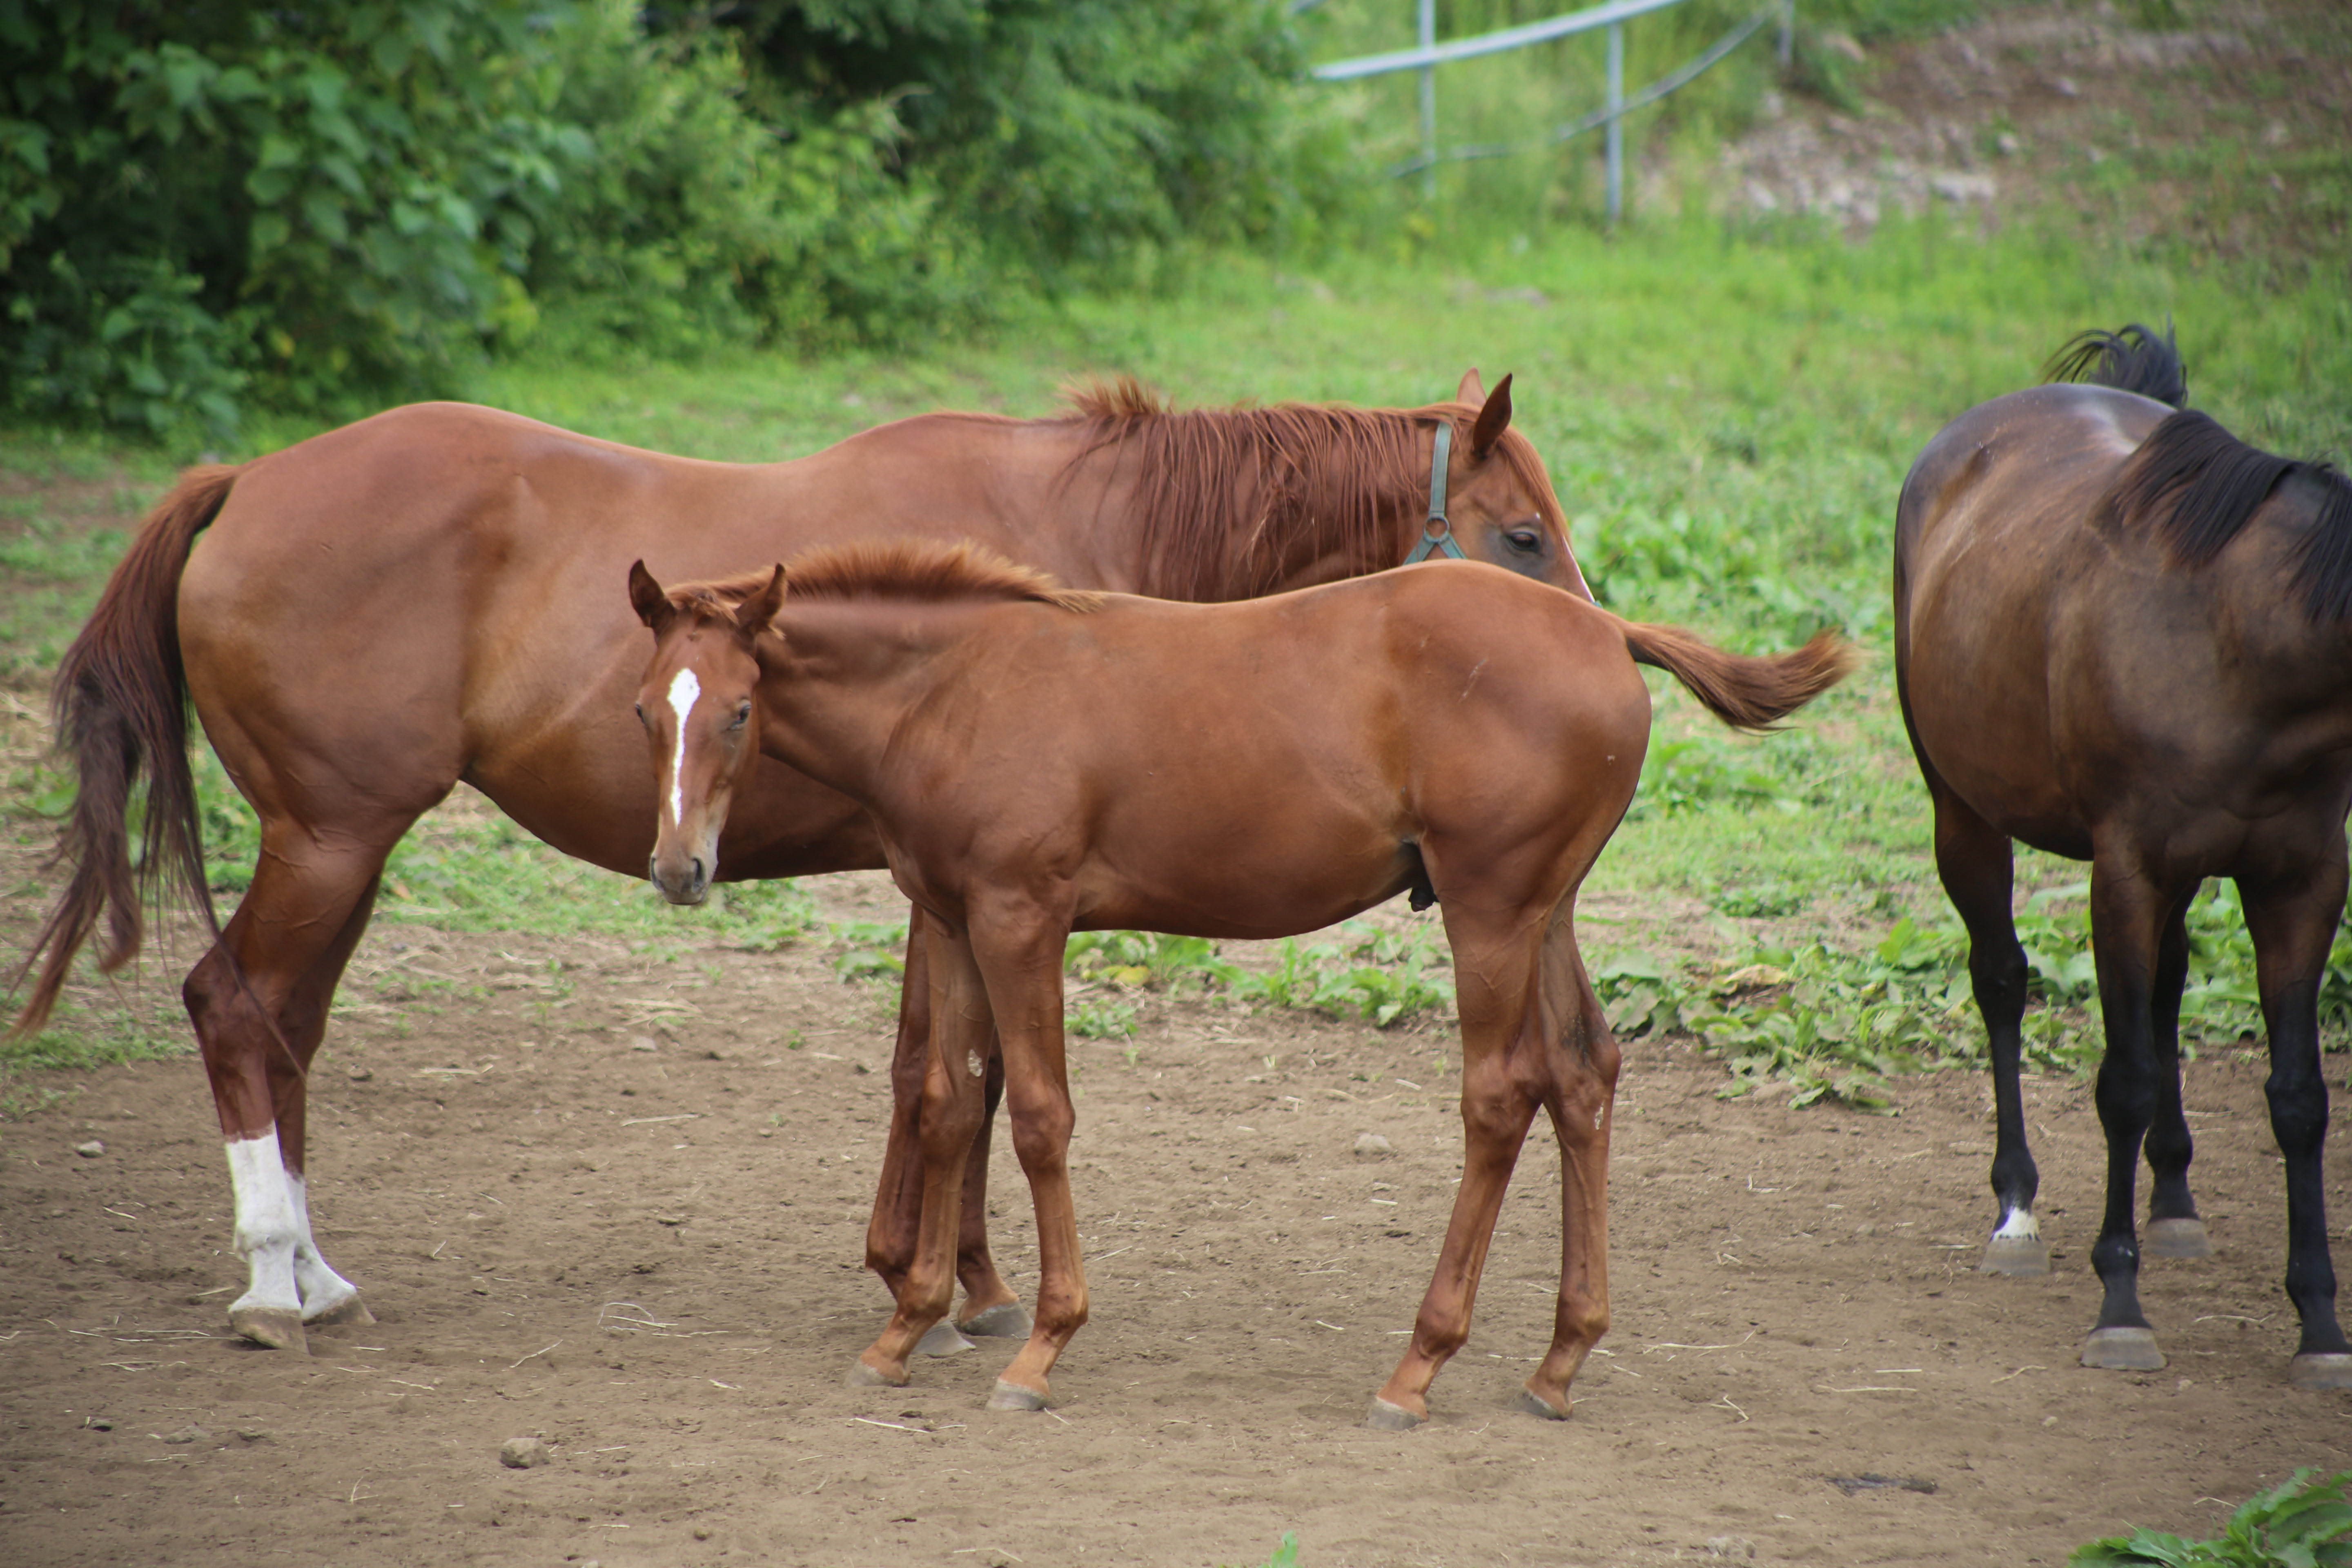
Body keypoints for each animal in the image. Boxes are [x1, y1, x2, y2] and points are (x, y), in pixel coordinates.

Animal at [18, 369, 1590, 1354]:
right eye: (1522, 531)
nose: (1588, 651)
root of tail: (245, 484)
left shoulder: (946, 881)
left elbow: (936, 1073)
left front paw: (933, 1278)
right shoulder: (953, 885)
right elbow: (967, 1079)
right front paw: (958, 1287)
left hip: (341, 846)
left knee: (286, 1027)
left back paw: (314, 1265)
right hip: (333, 840)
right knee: (235, 1011)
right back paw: (275, 1286)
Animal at [630, 545, 1853, 1429]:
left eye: (738, 710)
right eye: (648, 711)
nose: (678, 869)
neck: (959, 687)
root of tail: (1607, 629)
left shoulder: (1023, 918)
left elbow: (1036, 1117)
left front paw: (1042, 1345)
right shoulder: (948, 917)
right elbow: (944, 1102)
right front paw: (904, 1330)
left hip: (1490, 911)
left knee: (1501, 1097)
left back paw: (1417, 1366)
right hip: (1544, 909)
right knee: (1584, 1075)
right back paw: (1558, 1361)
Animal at [1891, 324, 2352, 1392]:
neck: (2239, 635)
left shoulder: (2302, 880)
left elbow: (2298, 1099)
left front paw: (2318, 1323)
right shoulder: (2127, 870)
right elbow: (2124, 1079)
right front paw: (2120, 1307)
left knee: (2169, 984)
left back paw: (2174, 1198)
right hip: (1963, 811)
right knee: (2000, 979)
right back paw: (2016, 1209)